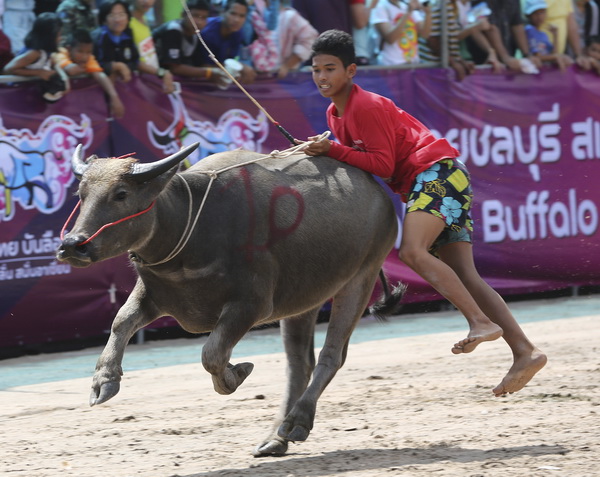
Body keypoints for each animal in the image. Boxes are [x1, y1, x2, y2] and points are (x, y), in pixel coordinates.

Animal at [56, 142, 404, 458]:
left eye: (121, 194)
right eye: (81, 194)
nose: (73, 245)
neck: (191, 226)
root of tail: (381, 194)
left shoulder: (250, 305)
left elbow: (211, 354)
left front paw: (236, 373)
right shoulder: (153, 294)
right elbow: (121, 321)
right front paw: (103, 380)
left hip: (360, 278)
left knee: (331, 356)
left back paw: (297, 422)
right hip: (304, 299)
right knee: (299, 363)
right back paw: (275, 437)